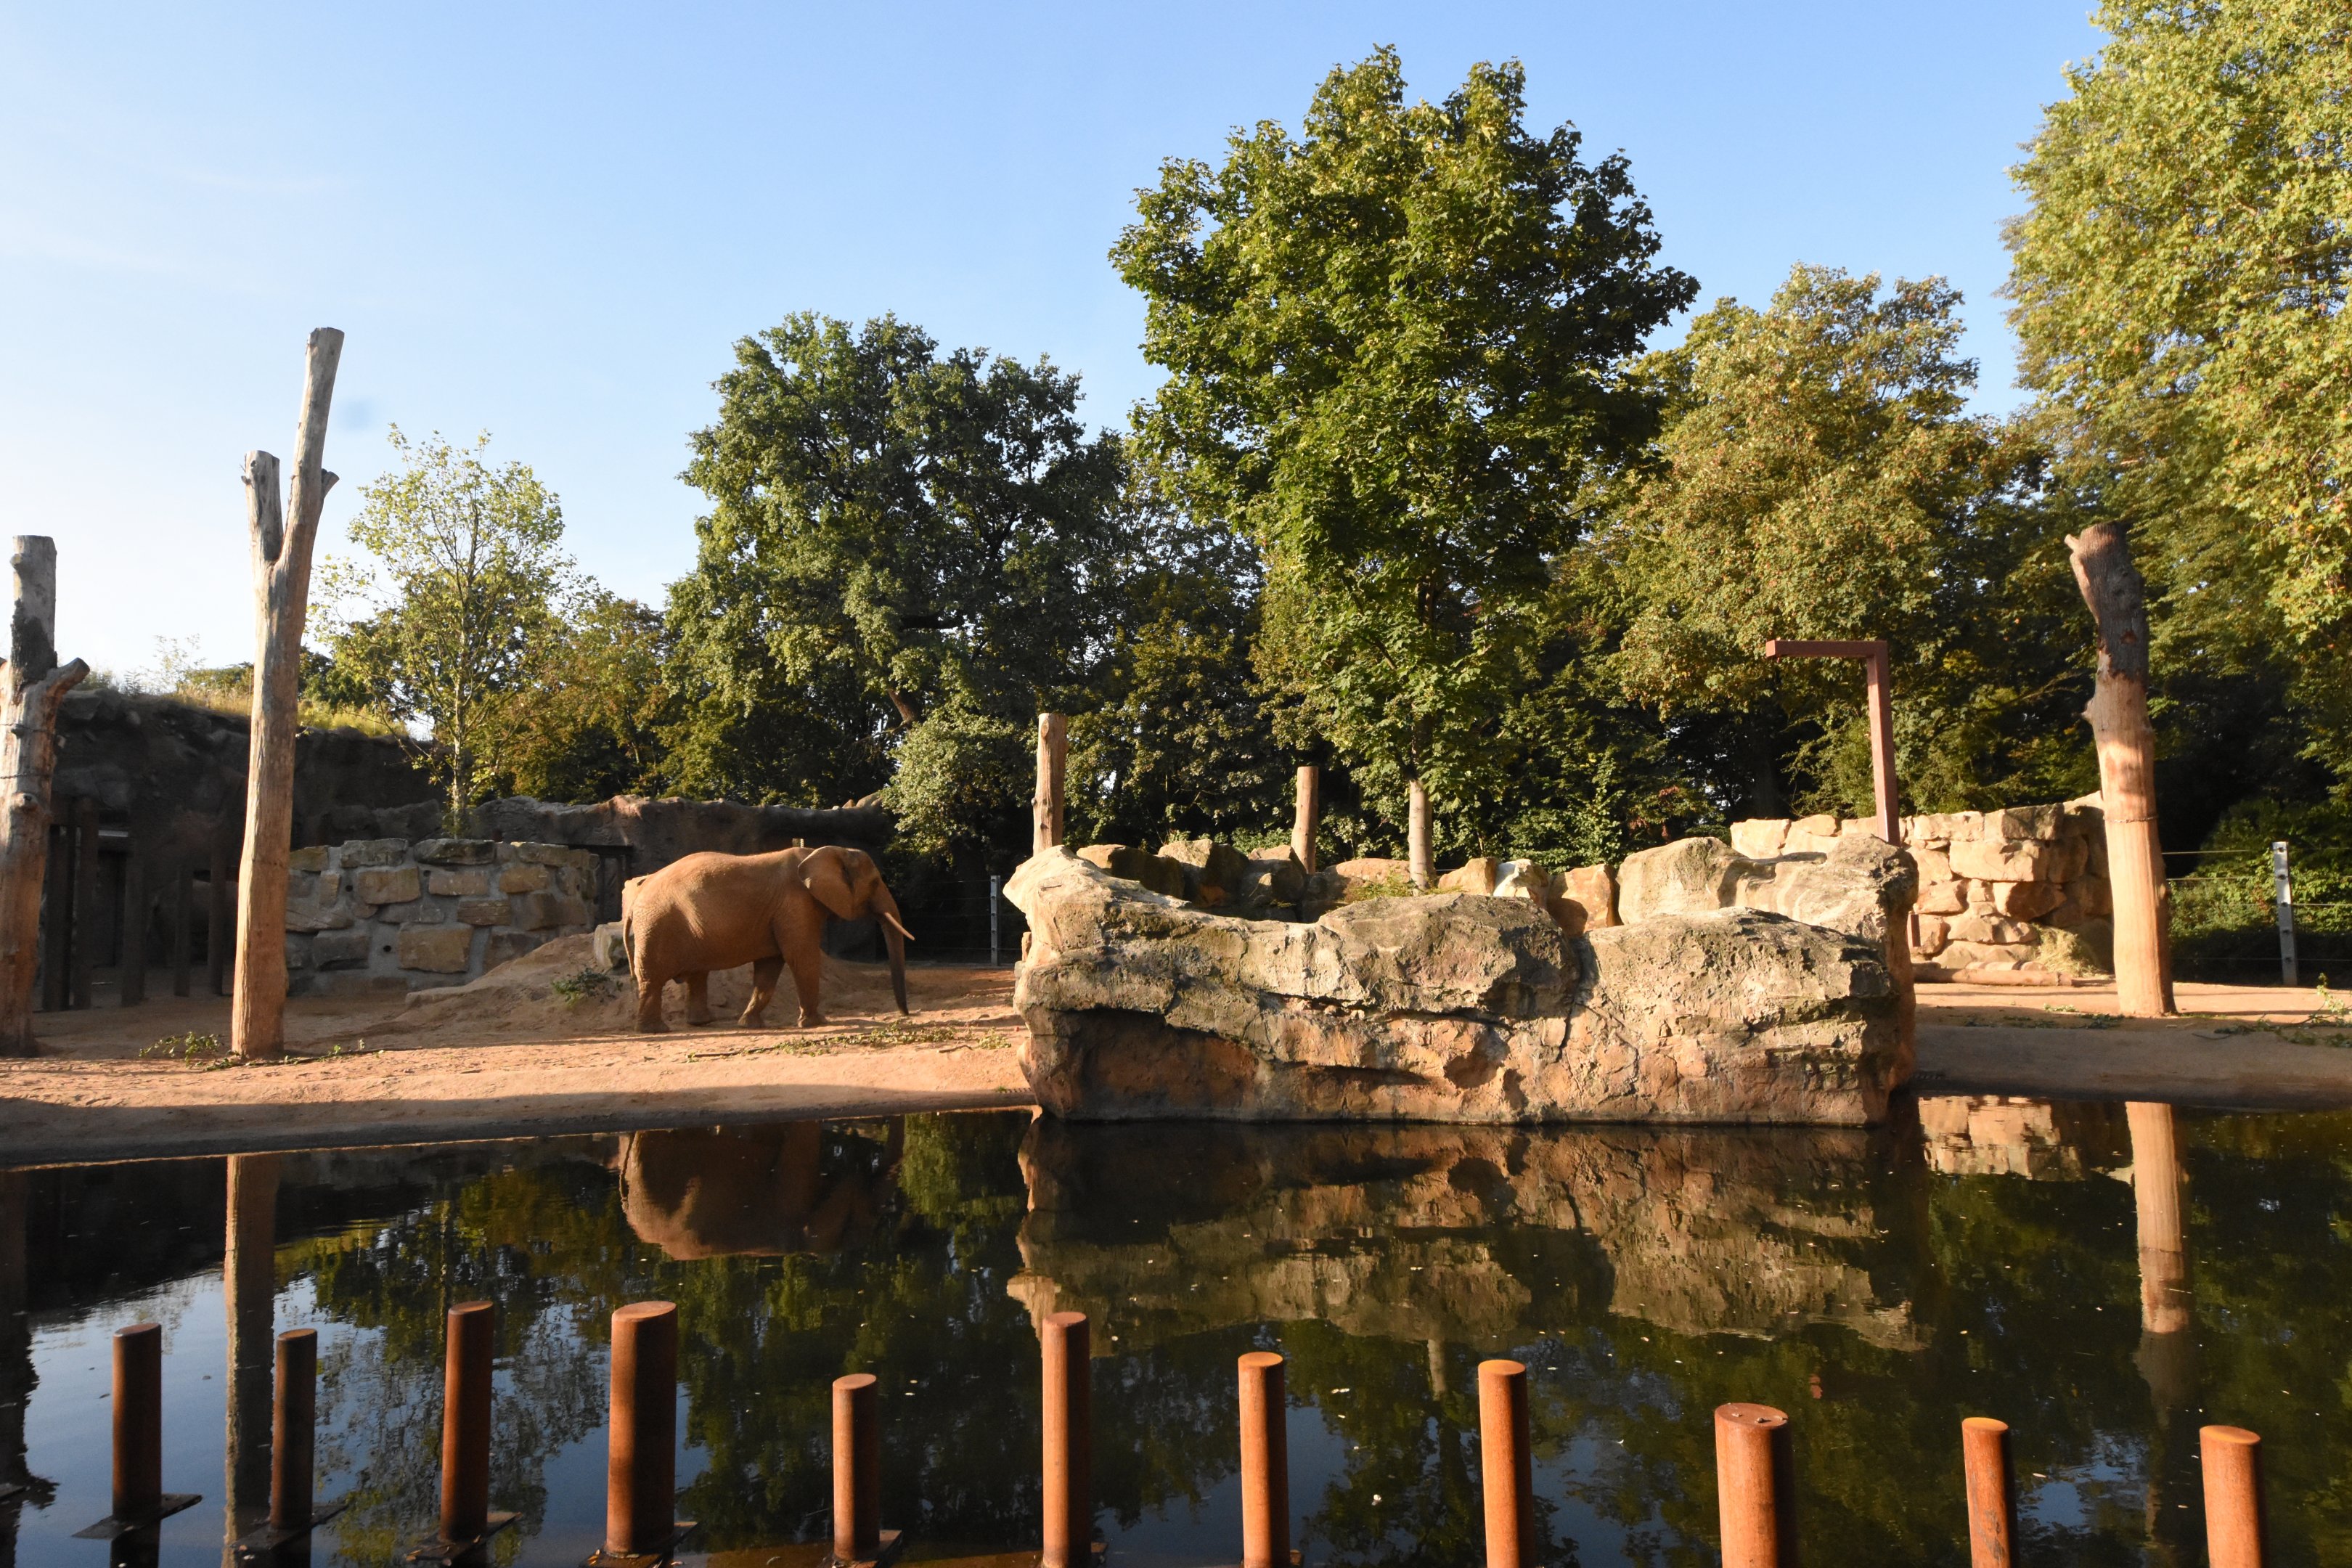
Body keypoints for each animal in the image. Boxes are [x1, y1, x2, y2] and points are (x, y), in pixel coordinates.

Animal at [622, 844, 912, 1032]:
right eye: (874, 883)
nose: (905, 1015)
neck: (825, 851)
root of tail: (637, 896)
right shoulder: (796, 904)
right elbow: (801, 957)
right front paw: (818, 1023)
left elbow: (770, 966)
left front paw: (750, 1025)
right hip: (658, 924)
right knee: (653, 979)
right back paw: (654, 1031)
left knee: (697, 975)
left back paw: (701, 1024)